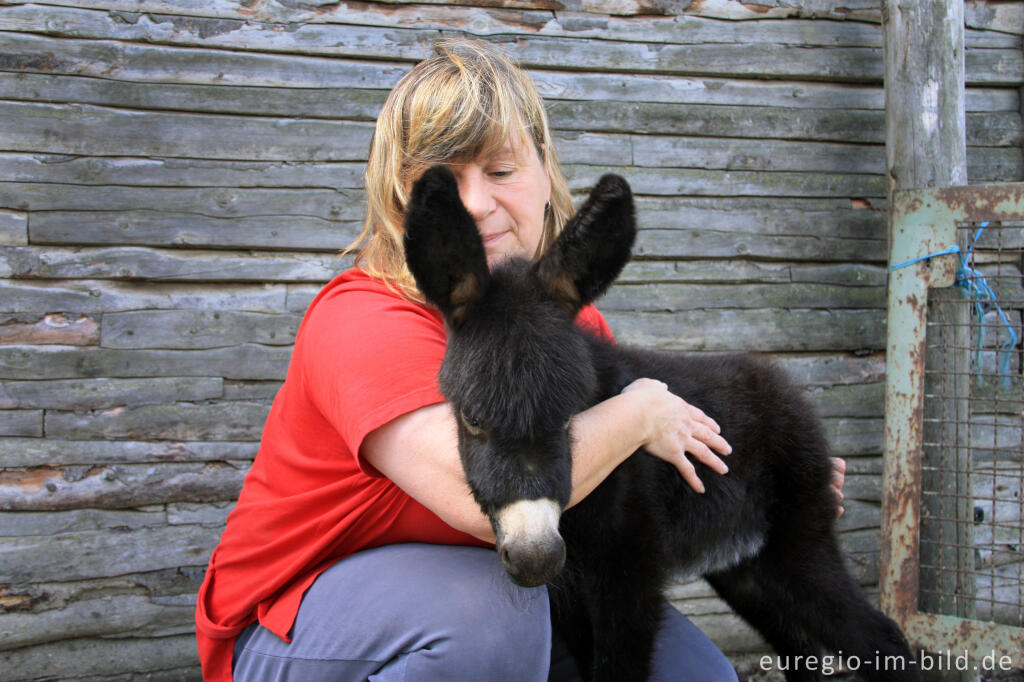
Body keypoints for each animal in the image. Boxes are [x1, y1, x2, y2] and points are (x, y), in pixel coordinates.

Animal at [401, 165, 921, 679]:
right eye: (471, 417)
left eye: (570, 413)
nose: (536, 559)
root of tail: (787, 390)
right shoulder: (569, 595)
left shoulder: (630, 572)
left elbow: (620, 668)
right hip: (745, 568)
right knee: (801, 650)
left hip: (797, 545)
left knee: (882, 637)